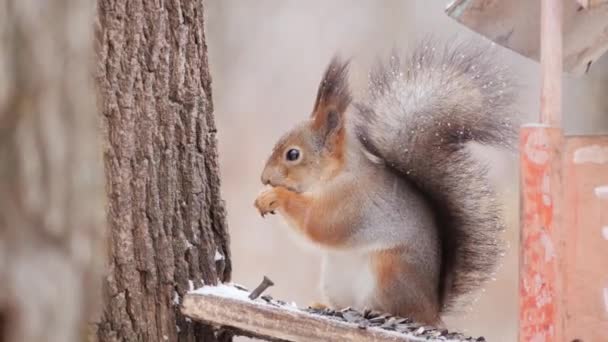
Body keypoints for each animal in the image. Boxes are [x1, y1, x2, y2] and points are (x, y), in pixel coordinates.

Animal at [254, 40, 516, 326]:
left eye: (293, 154)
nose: (264, 178)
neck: (334, 176)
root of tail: (432, 311)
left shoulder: (352, 202)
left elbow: (318, 225)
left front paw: (275, 196)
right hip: (335, 280)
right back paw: (324, 305)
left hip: (389, 271)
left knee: (397, 309)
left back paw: (382, 313)